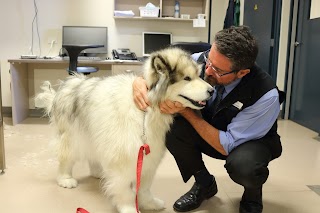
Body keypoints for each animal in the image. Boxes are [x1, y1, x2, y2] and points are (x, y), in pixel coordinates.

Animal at [36, 47, 212, 213]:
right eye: (187, 78)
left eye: (198, 75)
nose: (212, 91)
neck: (146, 110)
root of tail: (68, 84)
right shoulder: (124, 158)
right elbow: (125, 189)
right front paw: (129, 208)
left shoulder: (148, 158)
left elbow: (144, 188)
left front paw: (149, 203)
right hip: (72, 136)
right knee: (66, 157)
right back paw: (65, 179)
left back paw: (98, 172)